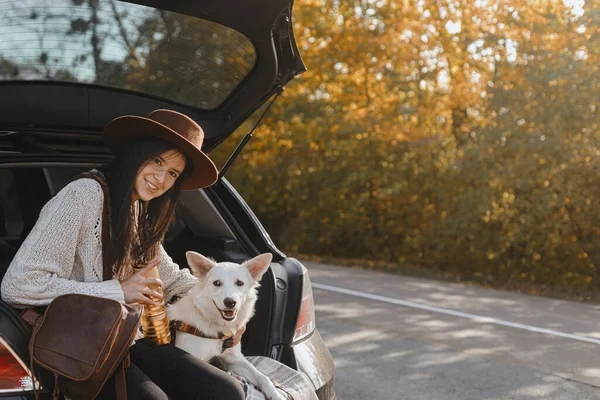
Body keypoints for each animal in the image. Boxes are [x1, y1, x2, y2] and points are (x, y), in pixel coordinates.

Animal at [165, 252, 284, 400]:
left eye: (239, 283)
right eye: (217, 283)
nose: (230, 302)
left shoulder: (234, 358)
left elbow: (261, 376)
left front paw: (275, 394)